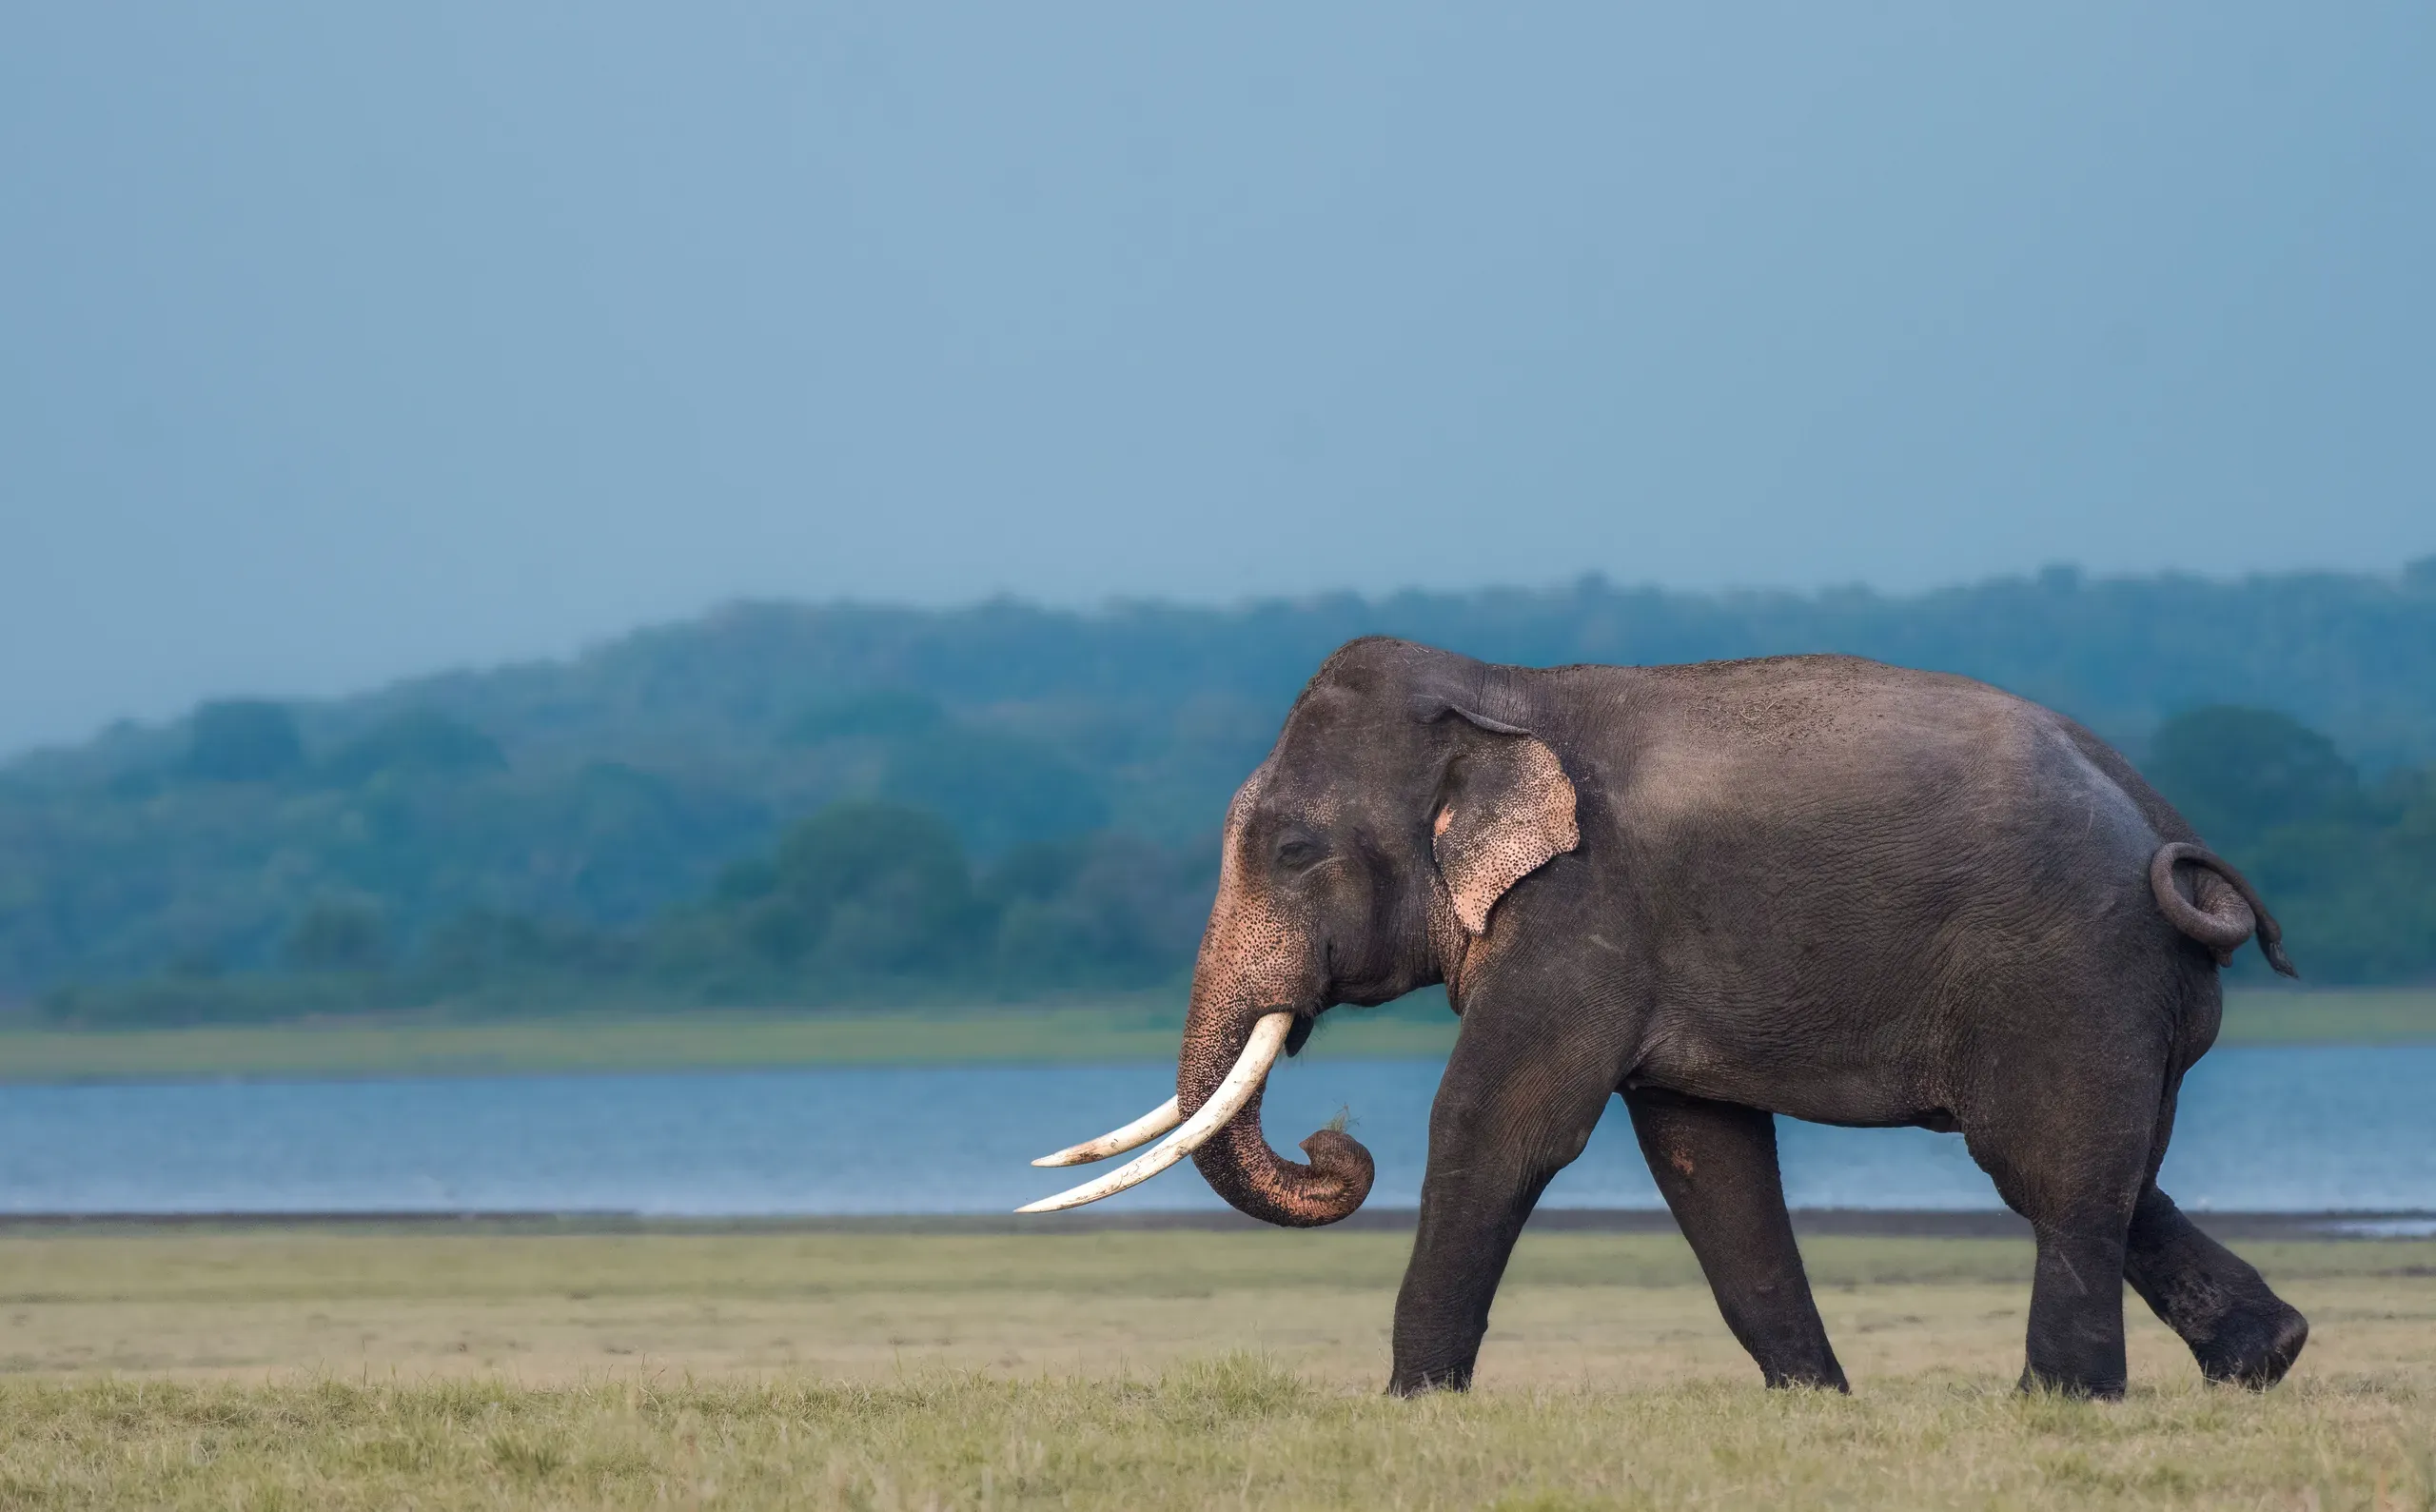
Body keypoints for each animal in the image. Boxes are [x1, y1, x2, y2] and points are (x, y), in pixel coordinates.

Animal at [1022, 637, 2309, 1400]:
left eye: (1292, 851)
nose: (1333, 1138)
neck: (1505, 691)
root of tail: (2165, 824)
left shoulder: (1582, 911)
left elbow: (1498, 1122)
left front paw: (1409, 1406)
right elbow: (1702, 1152)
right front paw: (1814, 1403)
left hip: (2065, 972)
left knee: (2050, 1173)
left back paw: (2063, 1401)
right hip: (2115, 992)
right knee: (2113, 1168)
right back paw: (2264, 1359)